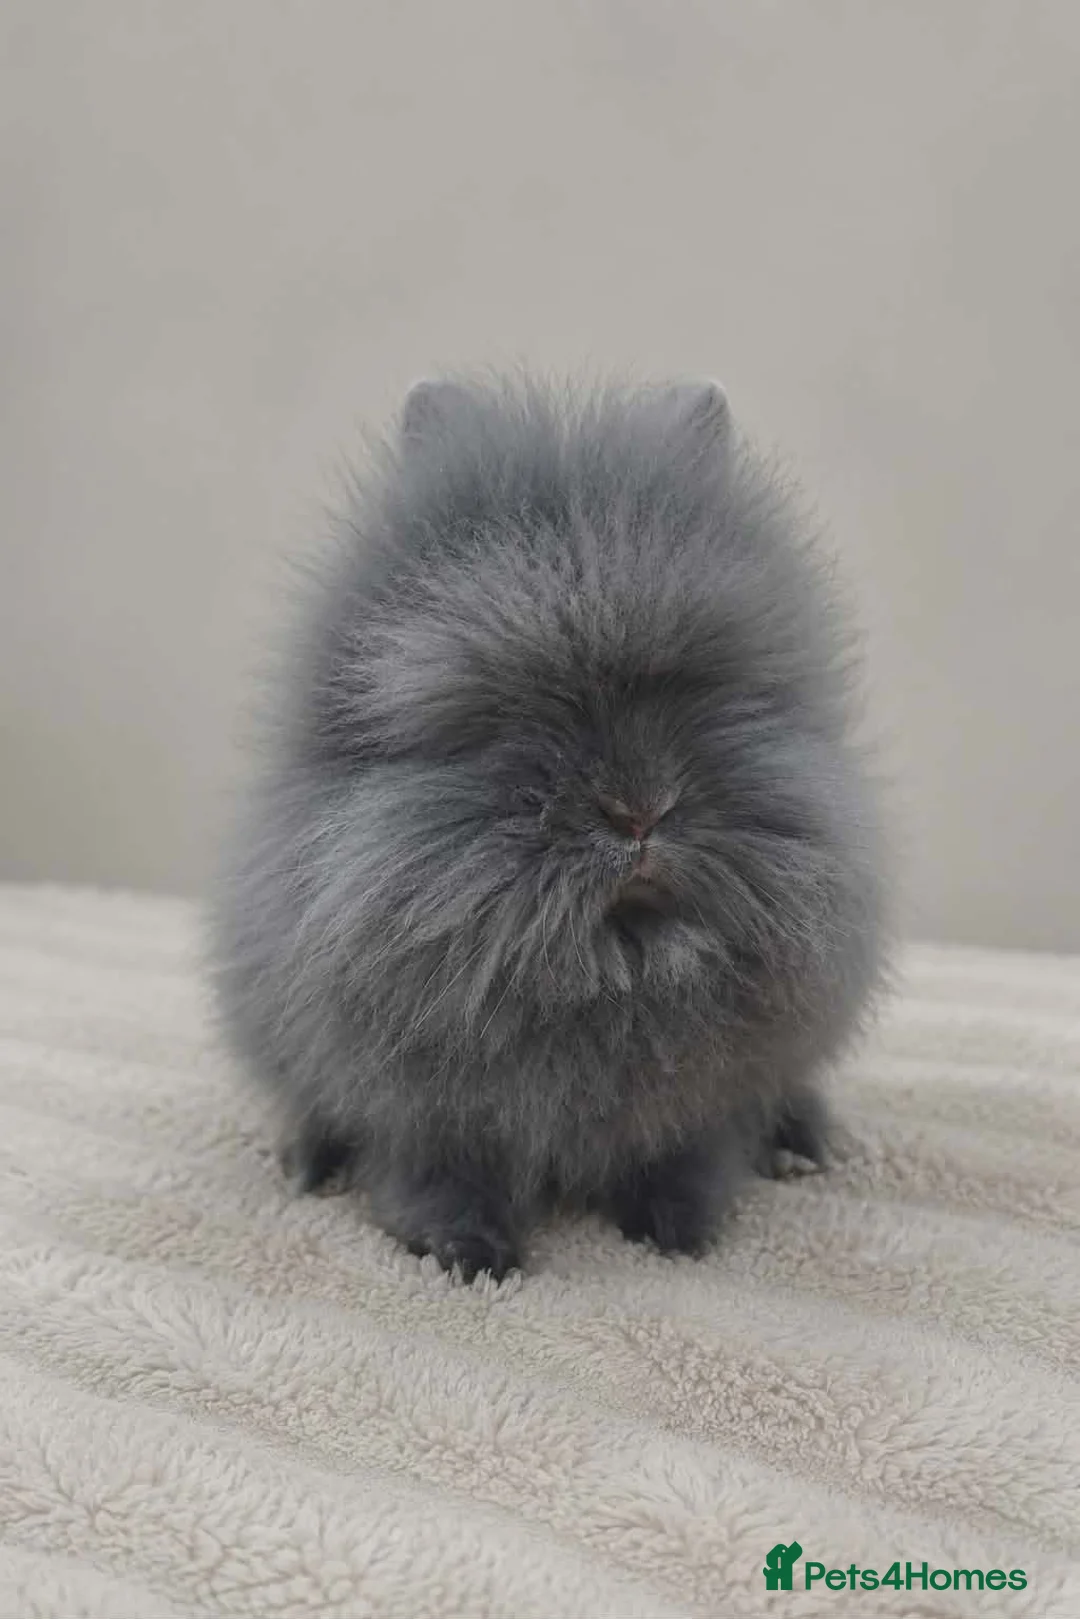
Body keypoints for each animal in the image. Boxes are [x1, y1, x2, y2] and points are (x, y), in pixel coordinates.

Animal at [209, 372, 887, 1282]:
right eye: (511, 710)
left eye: (695, 685)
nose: (639, 811)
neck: (611, 963)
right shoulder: (420, 1118)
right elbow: (435, 1181)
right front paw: (471, 1258)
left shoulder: (703, 1104)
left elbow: (688, 1159)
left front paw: (679, 1231)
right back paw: (304, 1165)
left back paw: (801, 1148)